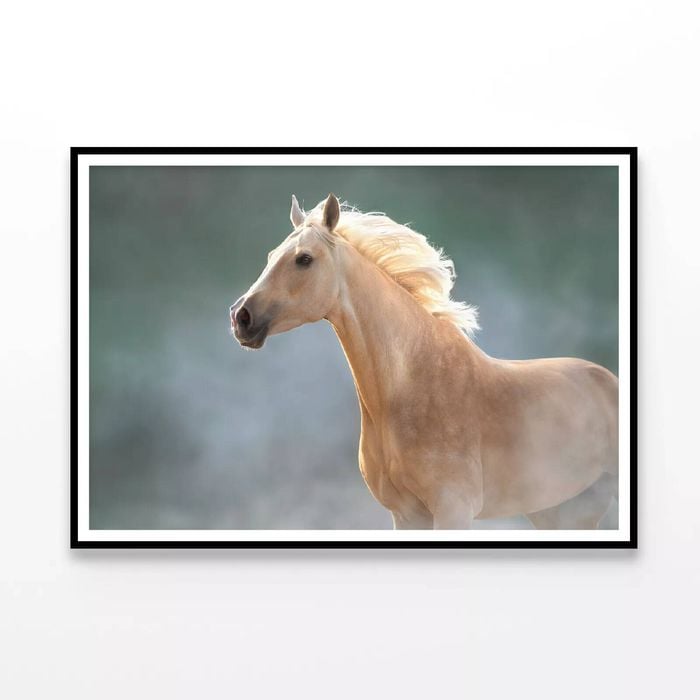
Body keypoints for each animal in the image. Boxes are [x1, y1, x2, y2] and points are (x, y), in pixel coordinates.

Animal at [230, 193, 619, 530]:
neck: (412, 385)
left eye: (304, 259)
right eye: (270, 256)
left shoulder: (453, 510)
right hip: (562, 511)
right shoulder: (406, 514)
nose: (241, 317)